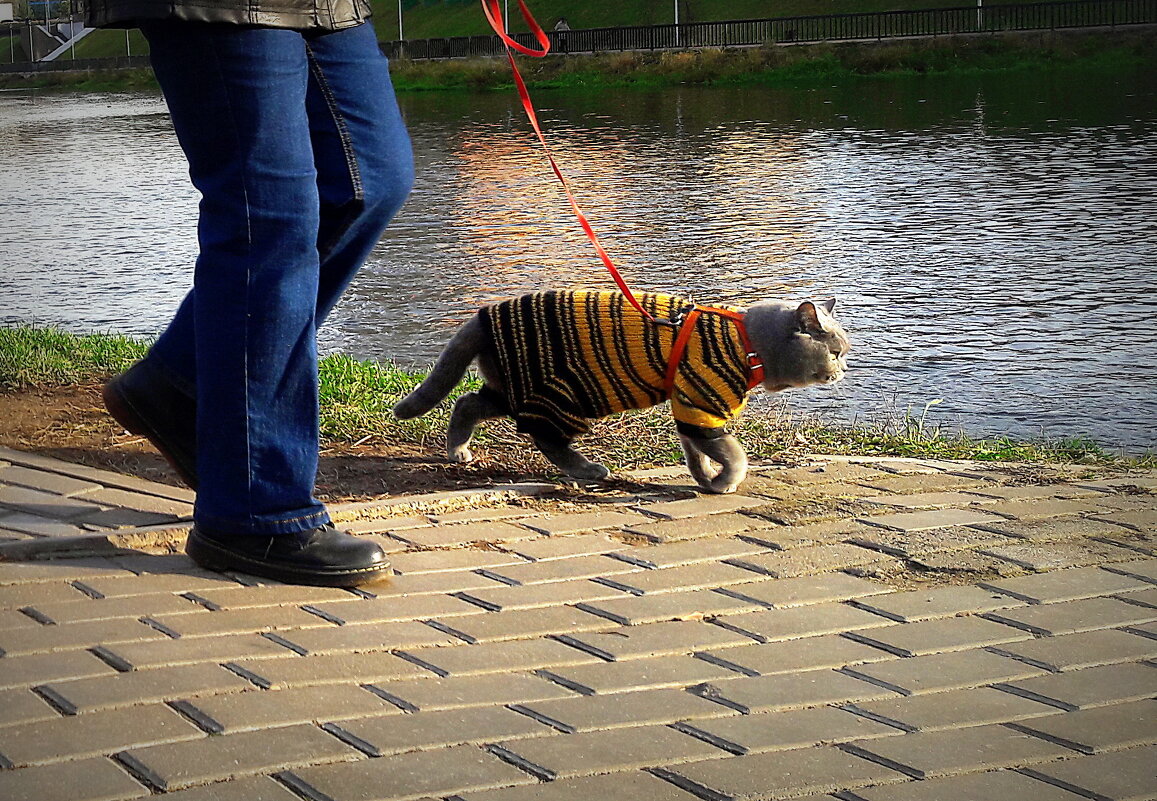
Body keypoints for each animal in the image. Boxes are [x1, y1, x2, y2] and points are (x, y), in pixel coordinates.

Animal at [393, 290, 846, 495]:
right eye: (836, 351)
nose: (845, 369)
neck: (747, 342)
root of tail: (483, 317)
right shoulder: (703, 405)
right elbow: (734, 453)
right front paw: (726, 481)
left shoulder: (690, 410)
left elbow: (696, 452)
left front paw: (705, 479)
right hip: (563, 394)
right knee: (544, 436)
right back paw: (588, 470)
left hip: (509, 387)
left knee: (466, 403)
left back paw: (458, 451)